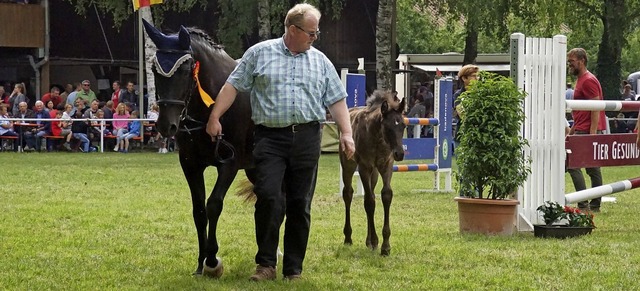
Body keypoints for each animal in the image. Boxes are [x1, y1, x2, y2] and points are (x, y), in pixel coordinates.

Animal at [142, 21, 255, 278]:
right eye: (154, 70)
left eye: (185, 70)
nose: (166, 125)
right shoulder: (190, 164)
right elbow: (199, 211)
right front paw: (200, 263)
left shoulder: (229, 163)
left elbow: (213, 205)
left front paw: (212, 259)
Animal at [340, 90, 404, 256]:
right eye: (388, 127)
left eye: (403, 125)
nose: (400, 154)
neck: (378, 139)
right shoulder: (364, 167)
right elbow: (369, 202)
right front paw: (376, 241)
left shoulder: (386, 165)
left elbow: (385, 195)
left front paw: (385, 246)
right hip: (348, 165)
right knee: (348, 194)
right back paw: (348, 237)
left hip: (374, 173)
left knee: (372, 194)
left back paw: (368, 241)